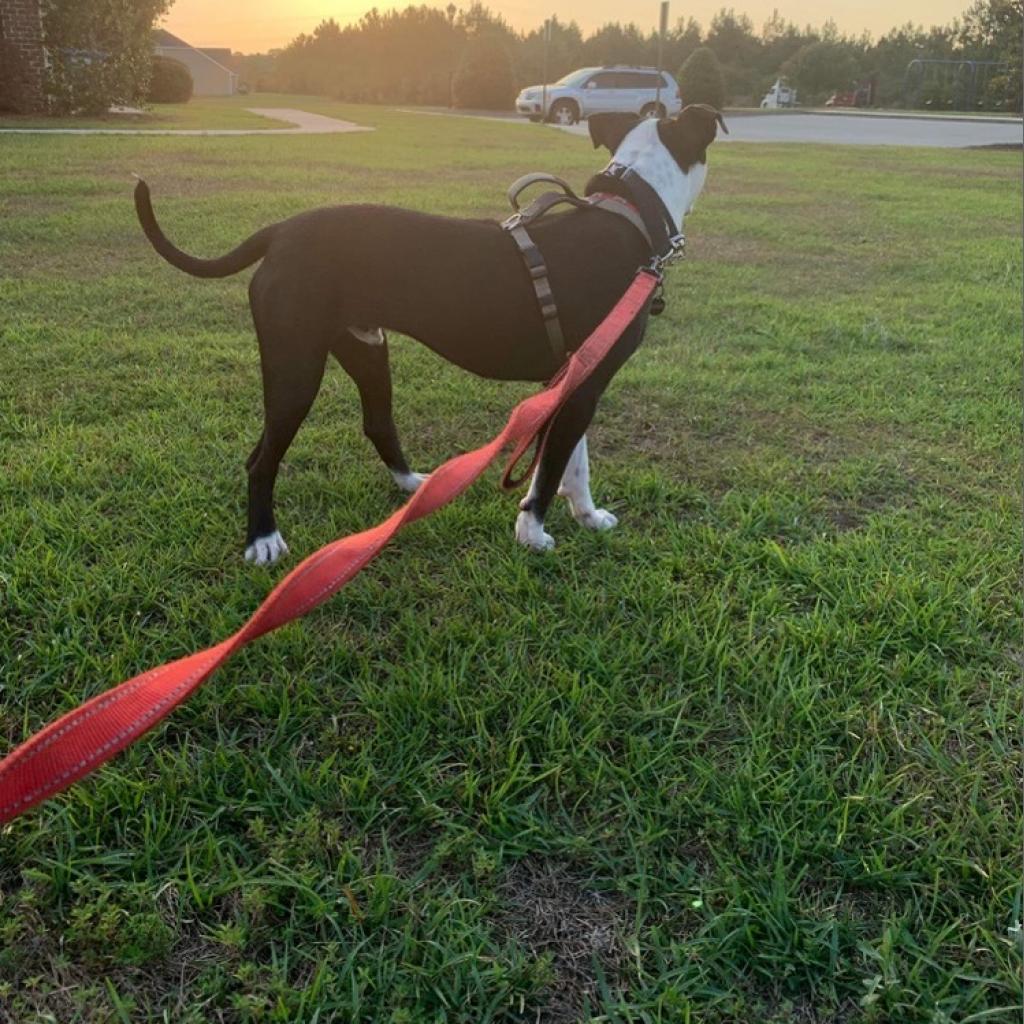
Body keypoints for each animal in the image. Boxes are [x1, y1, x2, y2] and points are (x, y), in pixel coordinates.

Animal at [136, 108, 724, 565]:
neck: (631, 213)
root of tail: (280, 232)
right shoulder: (583, 386)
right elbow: (550, 470)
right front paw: (532, 533)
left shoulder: (577, 381)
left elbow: (573, 463)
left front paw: (588, 516)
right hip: (295, 365)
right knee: (261, 459)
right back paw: (262, 539)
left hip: (367, 347)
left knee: (376, 422)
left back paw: (413, 485)